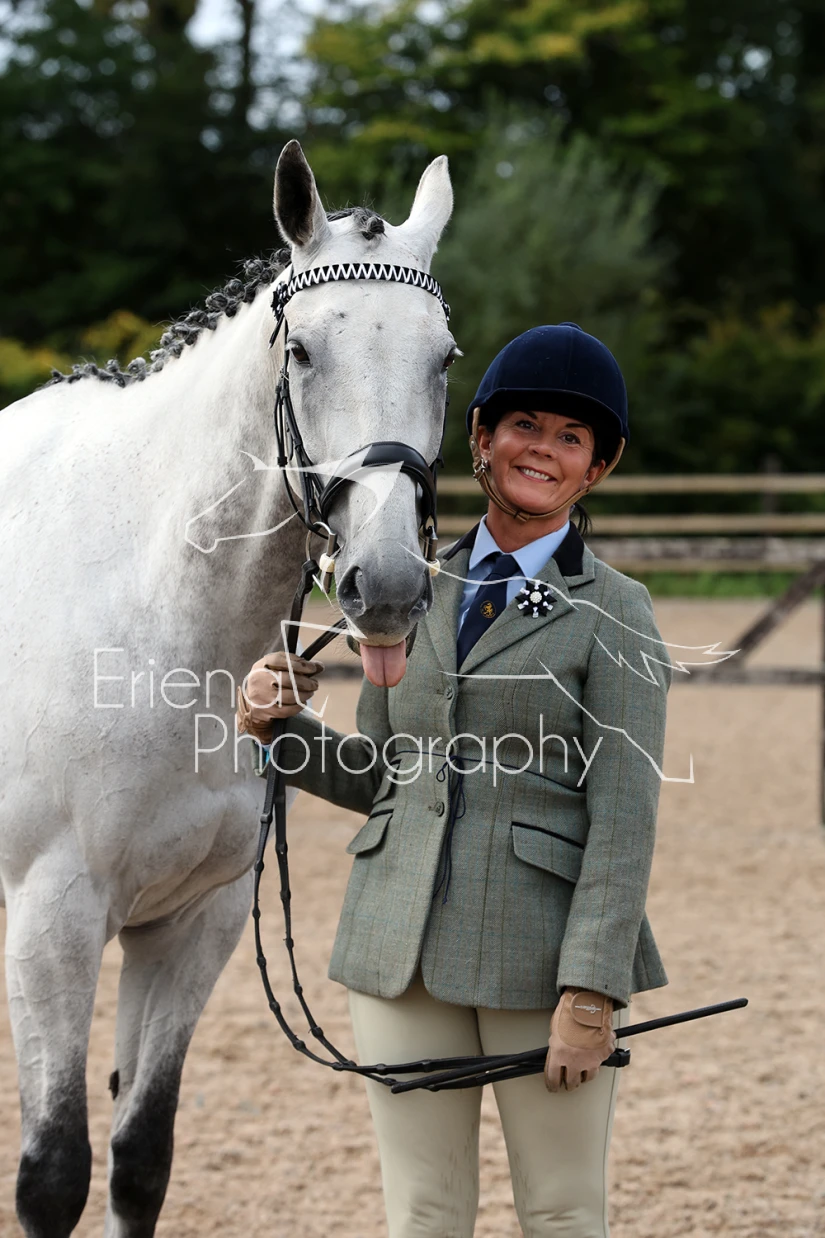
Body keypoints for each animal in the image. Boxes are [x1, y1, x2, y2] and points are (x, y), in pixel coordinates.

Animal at [0, 139, 455, 1237]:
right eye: (304, 355)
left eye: (445, 357)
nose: (385, 582)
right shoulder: (51, 920)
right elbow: (52, 1176)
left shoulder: (191, 923)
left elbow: (139, 1160)